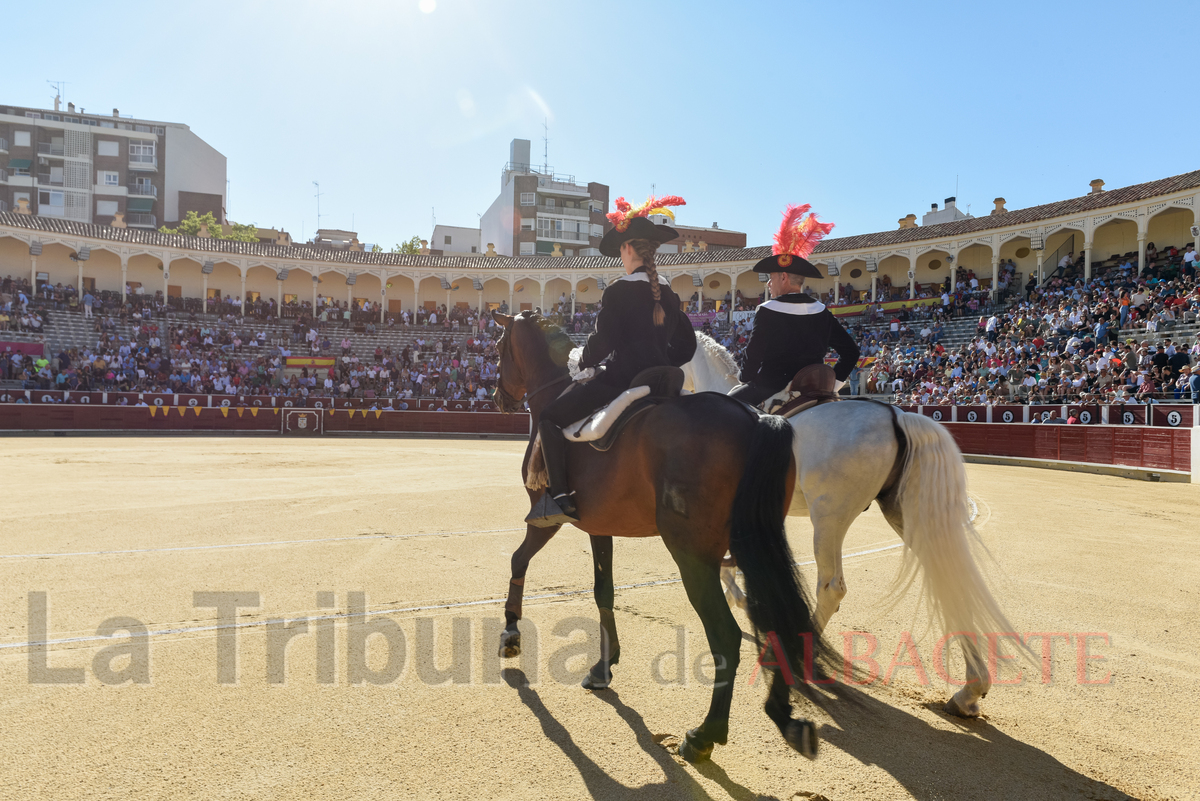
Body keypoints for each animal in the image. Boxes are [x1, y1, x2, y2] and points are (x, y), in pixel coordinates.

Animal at [487, 311, 825, 762]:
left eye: (497, 348)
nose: (497, 398)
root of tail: (755, 418)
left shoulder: (546, 519)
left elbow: (518, 559)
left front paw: (511, 633)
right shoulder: (600, 526)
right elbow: (604, 591)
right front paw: (603, 667)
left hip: (693, 554)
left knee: (727, 635)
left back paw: (705, 734)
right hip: (754, 545)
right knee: (773, 618)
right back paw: (784, 717)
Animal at [568, 335, 1022, 714]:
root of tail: (896, 415)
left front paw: (739, 595)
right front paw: (742, 593)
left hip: (830, 516)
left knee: (831, 587)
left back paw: (793, 653)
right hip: (902, 512)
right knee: (945, 574)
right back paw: (969, 690)